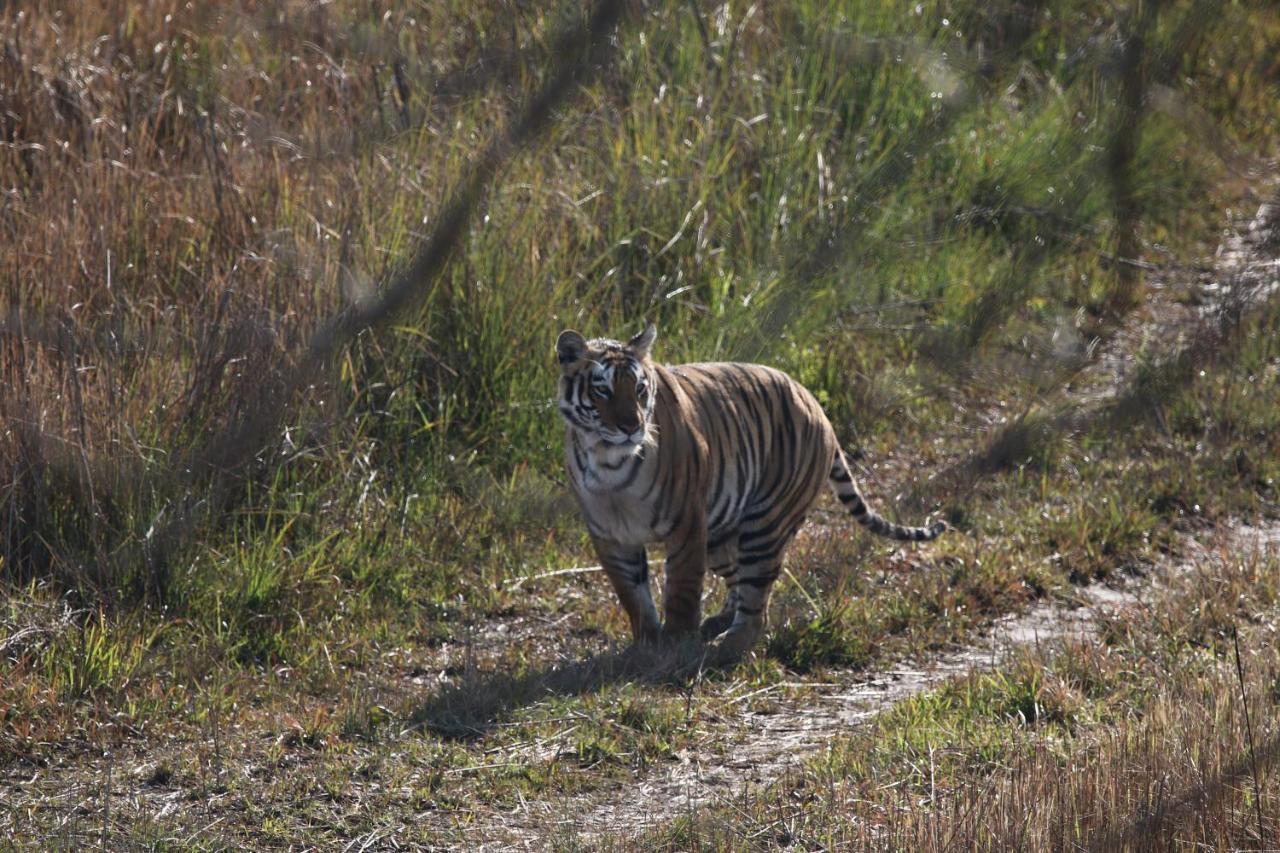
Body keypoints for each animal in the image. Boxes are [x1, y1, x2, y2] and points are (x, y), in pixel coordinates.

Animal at [555, 322, 947, 660]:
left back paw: (725, 646)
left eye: (639, 390)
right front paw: (646, 646)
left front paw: (676, 644)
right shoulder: (609, 536)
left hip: (765, 525)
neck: (608, 464)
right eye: (602, 390)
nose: (631, 428)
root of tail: (816, 405)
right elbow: (632, 596)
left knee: (756, 602)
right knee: (737, 581)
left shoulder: (686, 525)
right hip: (719, 532)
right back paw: (718, 623)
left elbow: (682, 589)